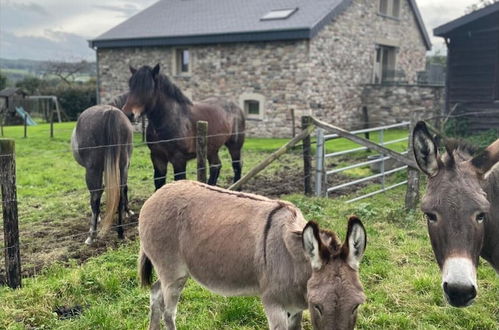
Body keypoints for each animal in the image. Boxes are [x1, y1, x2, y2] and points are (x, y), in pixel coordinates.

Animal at [139, 180, 366, 330]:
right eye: (317, 306)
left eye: (356, 305)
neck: (293, 260)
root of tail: (158, 192)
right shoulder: (274, 304)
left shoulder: (295, 308)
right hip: (172, 272)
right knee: (169, 312)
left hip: (175, 273)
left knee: (156, 293)